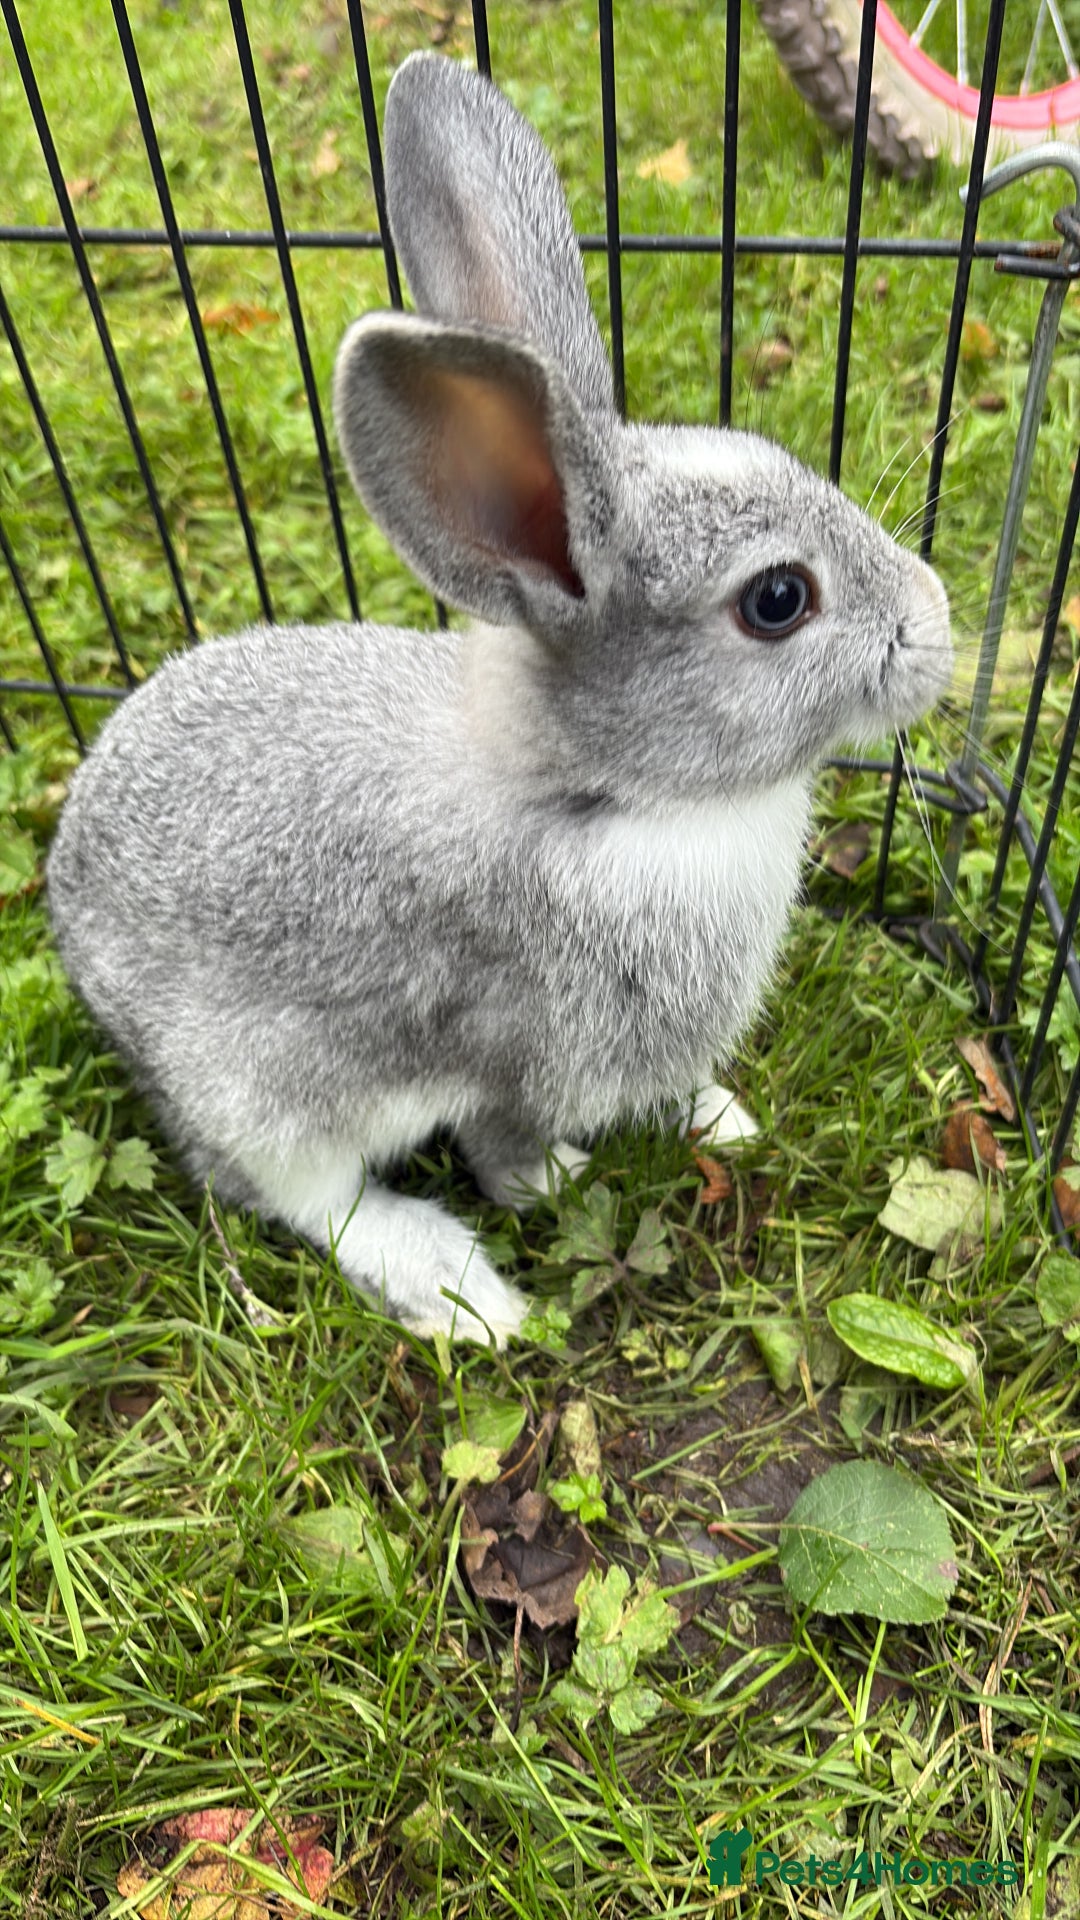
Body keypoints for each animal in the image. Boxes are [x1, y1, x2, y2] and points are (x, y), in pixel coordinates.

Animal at [46, 52, 952, 1345]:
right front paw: (555, 1188)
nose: (934, 622)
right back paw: (457, 1288)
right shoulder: (517, 1050)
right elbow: (506, 1146)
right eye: (778, 599)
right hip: (262, 1096)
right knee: (305, 1200)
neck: (605, 793)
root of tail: (70, 934)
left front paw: (719, 1118)